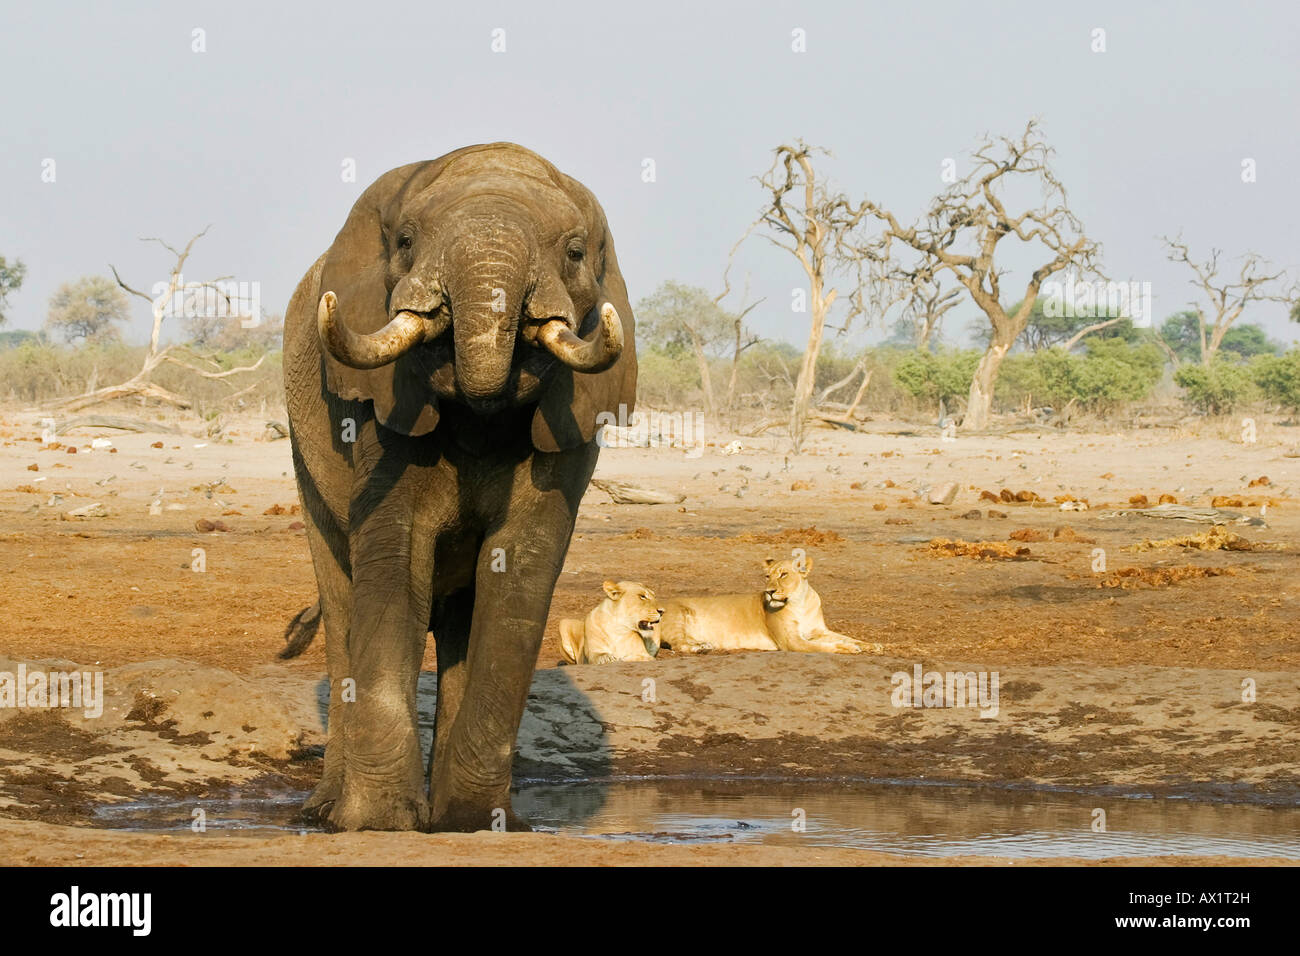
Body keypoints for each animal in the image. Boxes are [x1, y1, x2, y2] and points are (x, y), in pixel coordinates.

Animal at [282, 141, 637, 832]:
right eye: (406, 242)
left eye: (575, 252)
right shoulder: (384, 403)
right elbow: (395, 560)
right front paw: (382, 825)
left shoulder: (572, 417)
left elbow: (521, 570)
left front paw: (478, 823)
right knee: (341, 598)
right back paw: (326, 813)